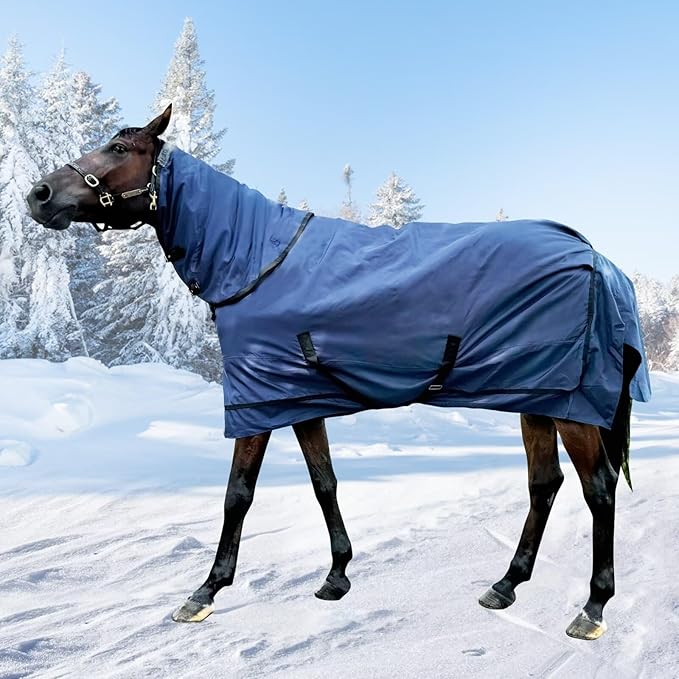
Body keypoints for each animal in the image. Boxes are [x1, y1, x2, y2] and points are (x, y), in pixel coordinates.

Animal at [26, 105, 650, 641]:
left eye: (119, 147)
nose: (38, 195)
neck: (256, 260)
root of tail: (598, 259)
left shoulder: (256, 403)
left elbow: (237, 494)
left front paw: (206, 591)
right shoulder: (297, 399)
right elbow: (323, 481)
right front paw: (337, 575)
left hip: (571, 406)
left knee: (598, 490)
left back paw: (592, 607)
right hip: (538, 396)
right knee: (545, 484)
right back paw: (505, 584)